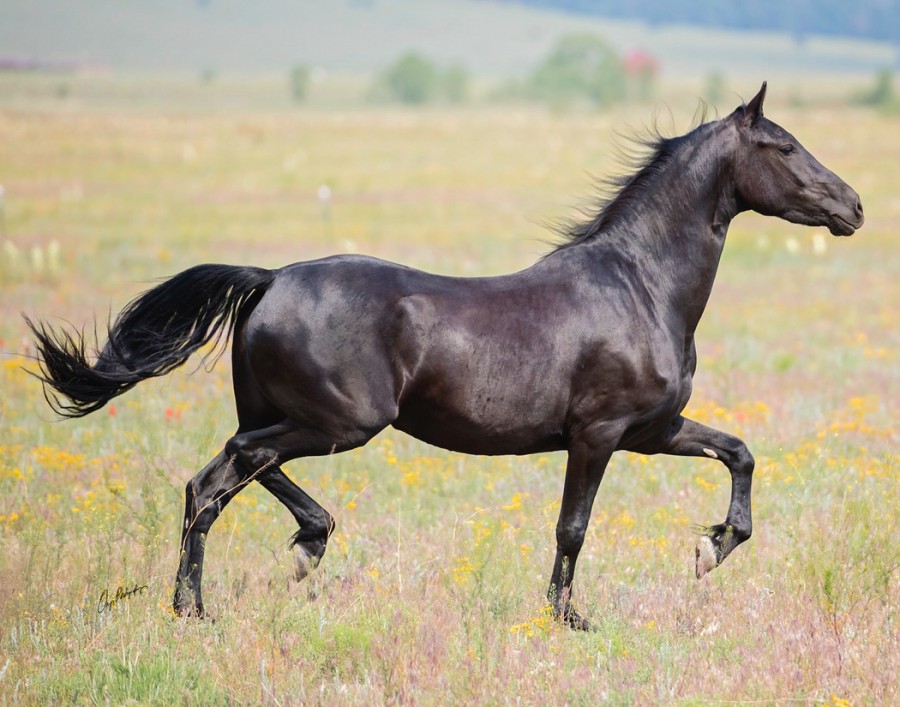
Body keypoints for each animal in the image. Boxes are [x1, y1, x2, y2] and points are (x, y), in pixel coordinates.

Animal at [26, 83, 864, 632]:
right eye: (784, 146)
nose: (854, 206)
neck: (639, 284)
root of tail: (270, 279)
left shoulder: (653, 429)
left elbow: (740, 452)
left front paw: (708, 549)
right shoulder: (597, 433)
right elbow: (573, 527)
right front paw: (570, 618)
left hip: (293, 416)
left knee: (228, 478)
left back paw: (255, 574)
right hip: (341, 421)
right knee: (223, 473)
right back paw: (228, 590)